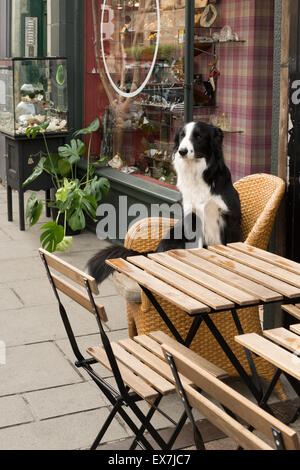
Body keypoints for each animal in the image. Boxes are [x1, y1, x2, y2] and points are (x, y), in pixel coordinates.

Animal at [87, 121, 241, 282]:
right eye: (182, 136)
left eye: (198, 136)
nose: (182, 151)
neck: (198, 174)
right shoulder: (192, 217)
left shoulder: (230, 218)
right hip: (173, 236)